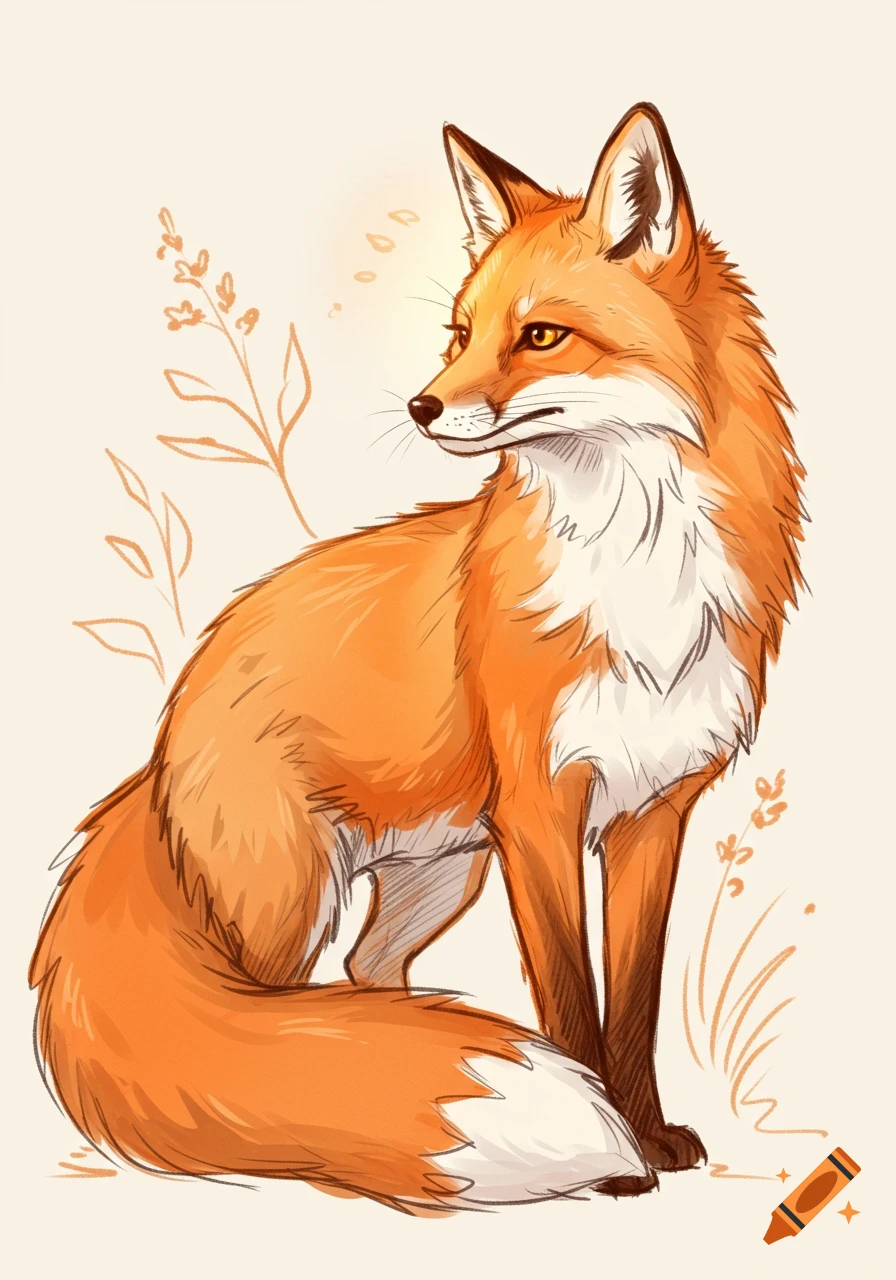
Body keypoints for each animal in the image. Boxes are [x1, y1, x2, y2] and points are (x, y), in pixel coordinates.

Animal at [30, 103, 803, 1212]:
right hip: (284, 907)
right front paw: (619, 1159)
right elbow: (569, 998)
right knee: (271, 1038)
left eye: (539, 334)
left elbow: (632, 1003)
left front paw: (648, 1135)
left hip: (437, 872)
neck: (639, 575)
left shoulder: (652, 813)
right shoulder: (538, 813)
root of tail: (160, 748)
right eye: (459, 333)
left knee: (365, 978)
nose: (421, 407)